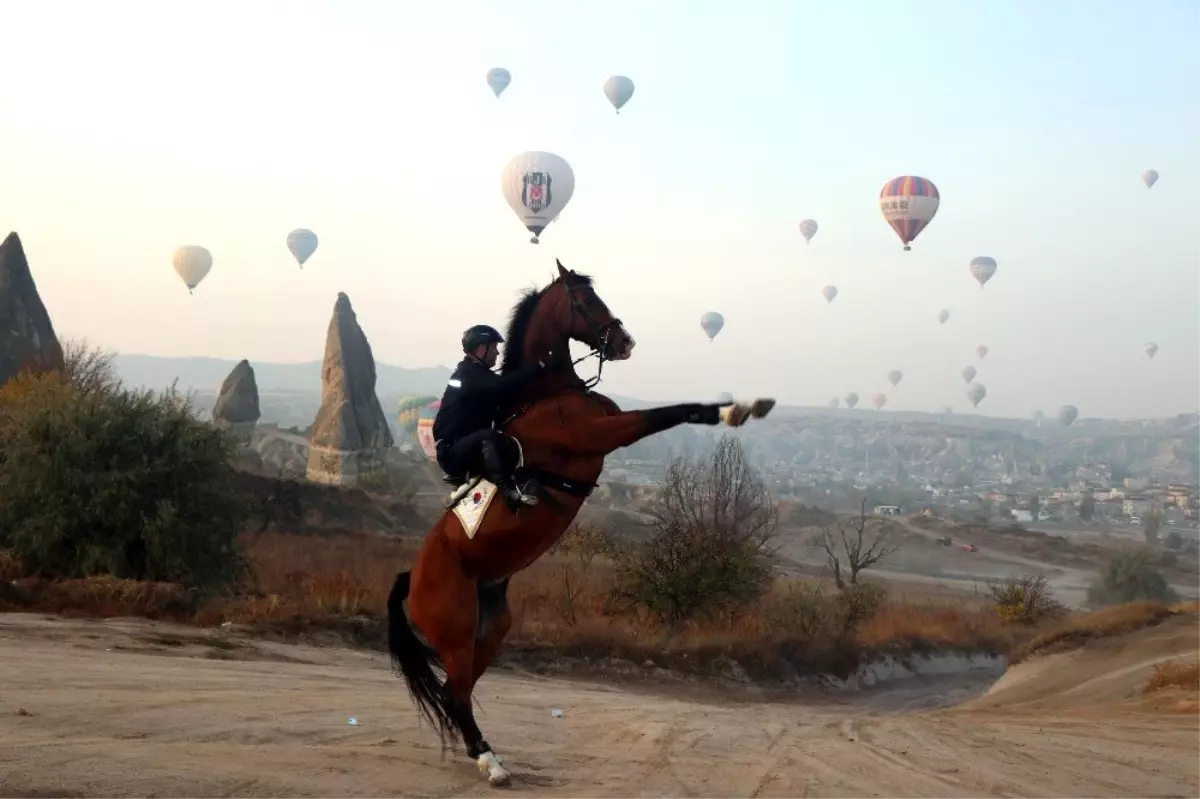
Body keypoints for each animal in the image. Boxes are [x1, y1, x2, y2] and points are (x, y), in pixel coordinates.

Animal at [388, 257, 772, 782]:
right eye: (586, 300)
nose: (625, 342)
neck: (550, 392)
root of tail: (412, 577)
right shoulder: (605, 432)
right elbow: (667, 413)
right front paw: (737, 409)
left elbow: (681, 411)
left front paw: (745, 405)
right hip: (456, 628)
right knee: (458, 691)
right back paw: (491, 763)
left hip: (490, 624)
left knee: (456, 690)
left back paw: (484, 753)